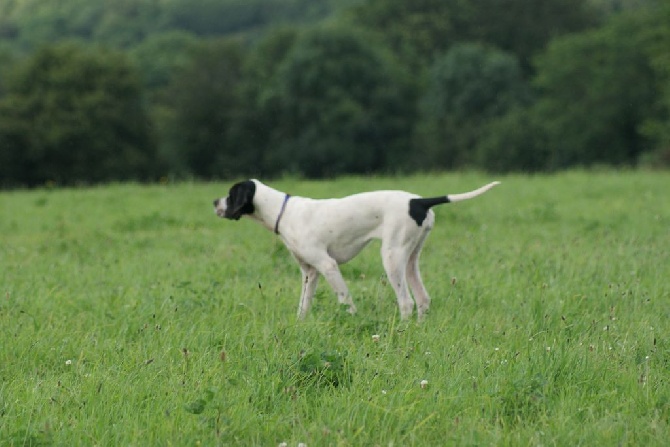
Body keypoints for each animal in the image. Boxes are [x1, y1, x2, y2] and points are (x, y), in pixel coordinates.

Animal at [213, 180, 502, 320]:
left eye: (230, 193)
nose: (215, 201)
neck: (283, 211)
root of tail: (418, 201)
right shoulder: (310, 273)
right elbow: (303, 307)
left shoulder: (328, 266)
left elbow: (345, 300)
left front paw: (352, 322)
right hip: (409, 261)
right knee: (422, 300)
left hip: (391, 258)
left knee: (406, 302)